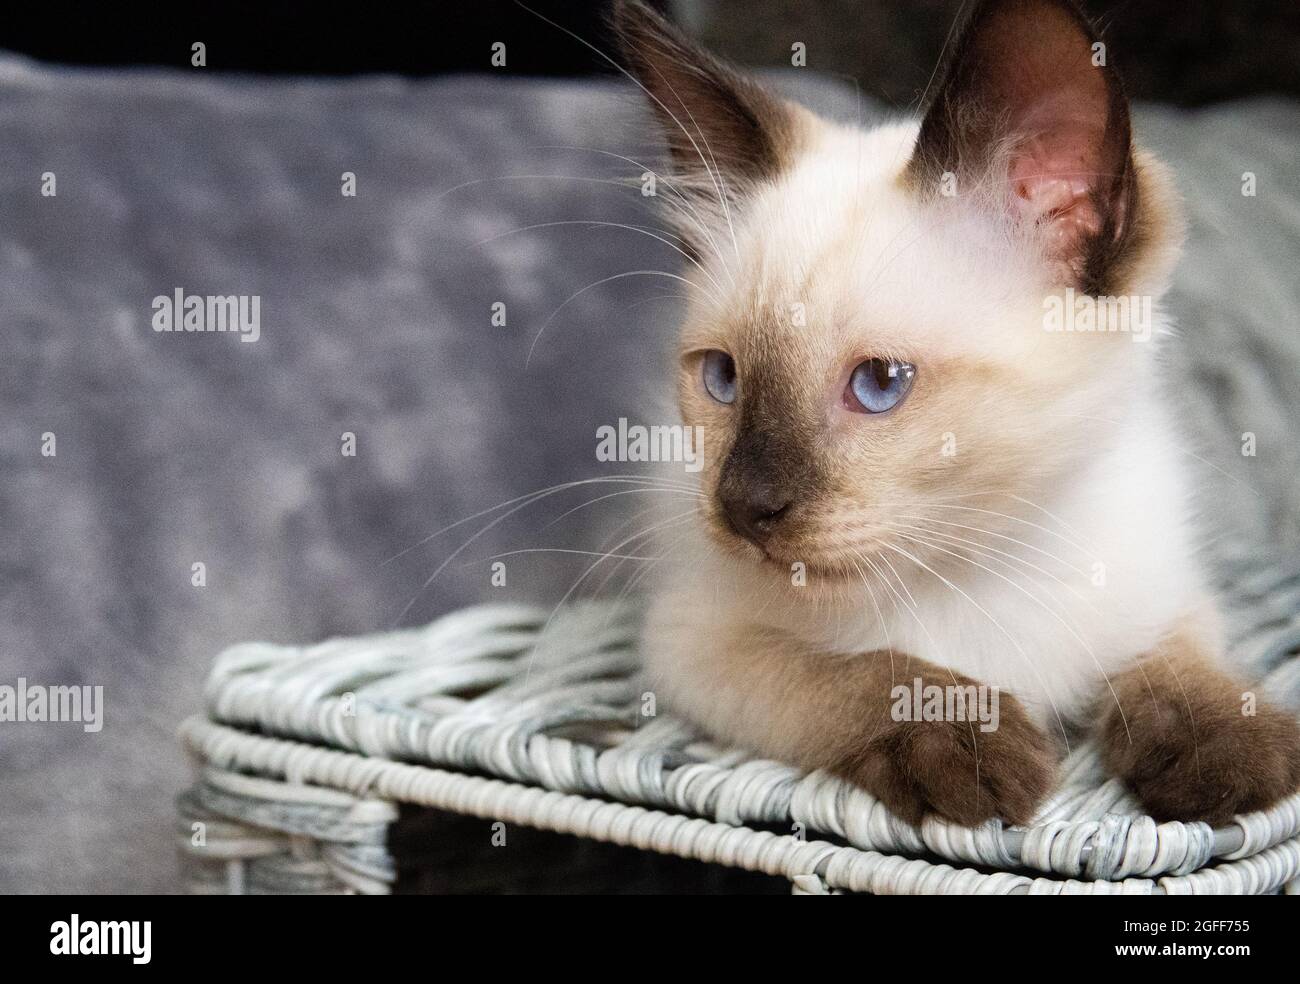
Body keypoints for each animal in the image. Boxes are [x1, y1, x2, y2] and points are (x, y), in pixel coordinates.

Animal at [613, 0, 1300, 826]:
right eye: (723, 378)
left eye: (880, 383)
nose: (745, 506)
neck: (983, 563)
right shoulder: (689, 638)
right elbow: (849, 673)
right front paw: (974, 749)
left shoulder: (1168, 595)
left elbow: (1179, 665)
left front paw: (1232, 757)